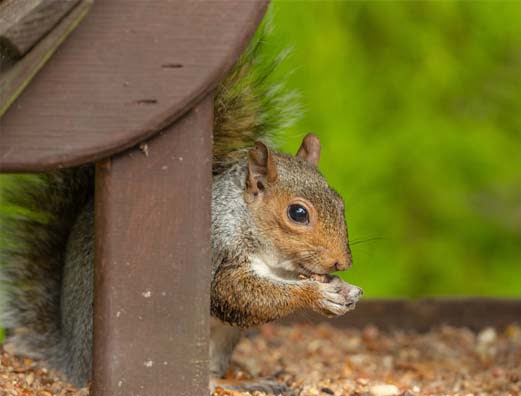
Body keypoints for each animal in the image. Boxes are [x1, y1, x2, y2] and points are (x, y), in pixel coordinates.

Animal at [0, 17, 364, 392]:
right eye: (298, 213)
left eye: (340, 202)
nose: (343, 262)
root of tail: (73, 362)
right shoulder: (219, 249)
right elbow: (237, 294)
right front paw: (317, 296)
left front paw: (343, 288)